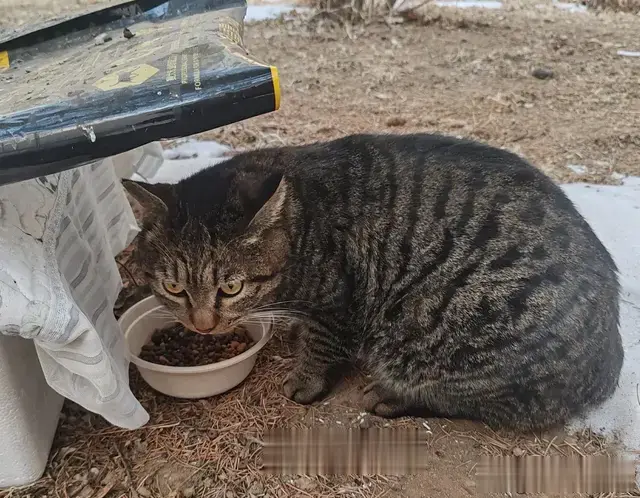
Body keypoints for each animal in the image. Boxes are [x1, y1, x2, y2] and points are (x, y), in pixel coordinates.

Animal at [124, 134, 620, 430]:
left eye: (230, 288)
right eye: (174, 289)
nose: (203, 326)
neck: (303, 222)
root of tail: (609, 357)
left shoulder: (338, 302)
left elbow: (321, 347)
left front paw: (305, 380)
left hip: (440, 324)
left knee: (487, 402)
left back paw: (392, 396)